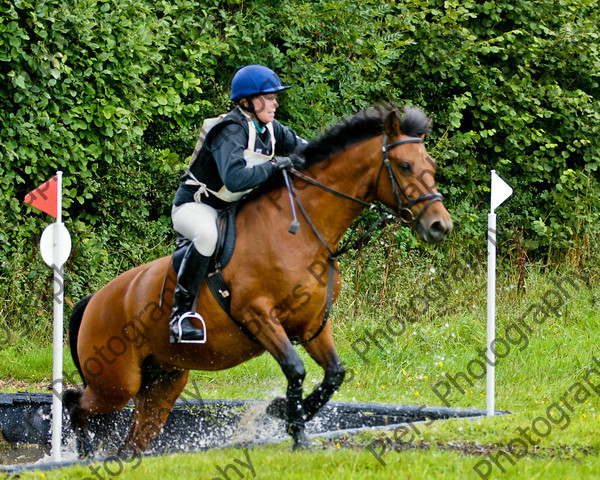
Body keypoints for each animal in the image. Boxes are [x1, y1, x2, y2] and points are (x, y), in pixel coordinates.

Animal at [64, 104, 450, 454]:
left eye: (431, 166)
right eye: (404, 166)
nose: (440, 226)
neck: (301, 232)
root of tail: (94, 301)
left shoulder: (313, 324)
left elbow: (334, 375)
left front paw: (283, 413)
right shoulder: (259, 316)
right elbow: (295, 370)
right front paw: (293, 427)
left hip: (162, 382)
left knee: (133, 439)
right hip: (117, 384)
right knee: (75, 403)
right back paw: (83, 453)